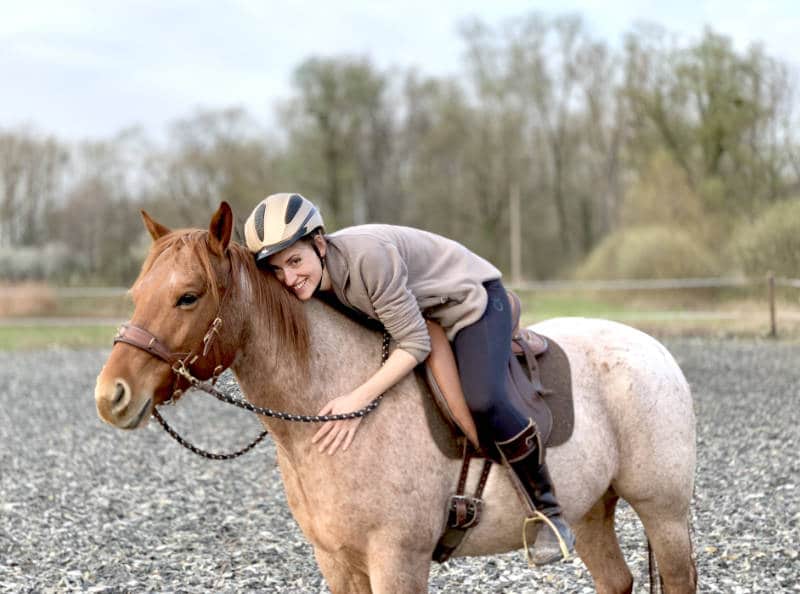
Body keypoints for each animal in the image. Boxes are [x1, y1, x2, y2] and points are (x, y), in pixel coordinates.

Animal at [92, 201, 692, 588]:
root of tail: (653, 348)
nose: (110, 395)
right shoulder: (337, 562)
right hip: (591, 510)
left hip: (664, 514)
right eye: (137, 293)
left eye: (188, 296)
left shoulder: (397, 560)